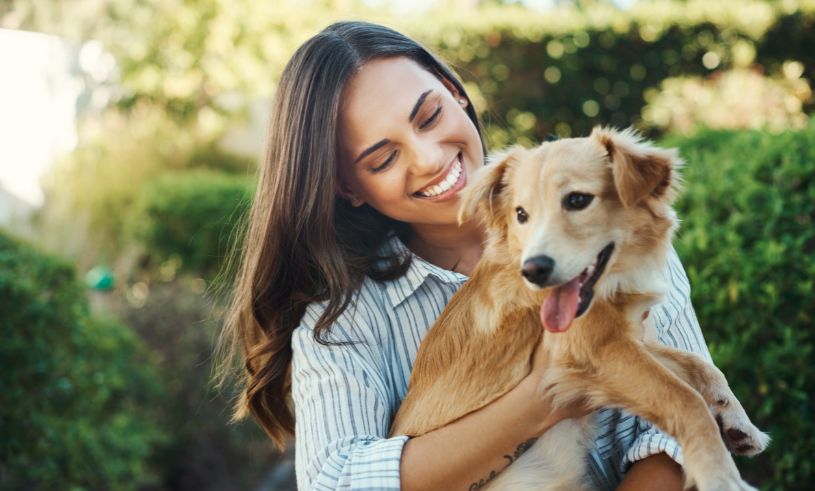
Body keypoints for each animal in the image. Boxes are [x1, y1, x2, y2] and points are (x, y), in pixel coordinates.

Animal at [392, 128, 768, 491]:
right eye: (521, 214)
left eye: (577, 200)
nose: (533, 270)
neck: (611, 283)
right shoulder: (594, 350)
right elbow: (684, 398)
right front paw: (718, 474)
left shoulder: (627, 339)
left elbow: (700, 366)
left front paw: (738, 422)